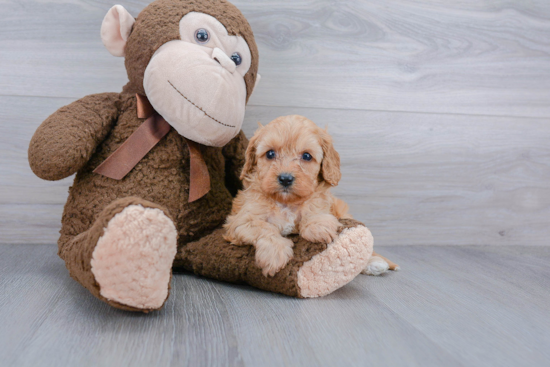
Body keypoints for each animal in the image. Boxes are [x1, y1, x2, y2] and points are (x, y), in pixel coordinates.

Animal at [222, 116, 398, 278]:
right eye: (270, 153)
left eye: (306, 156)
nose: (285, 178)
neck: (286, 203)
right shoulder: (240, 220)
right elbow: (265, 227)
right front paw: (274, 255)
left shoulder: (320, 202)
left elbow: (313, 211)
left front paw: (318, 226)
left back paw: (374, 263)